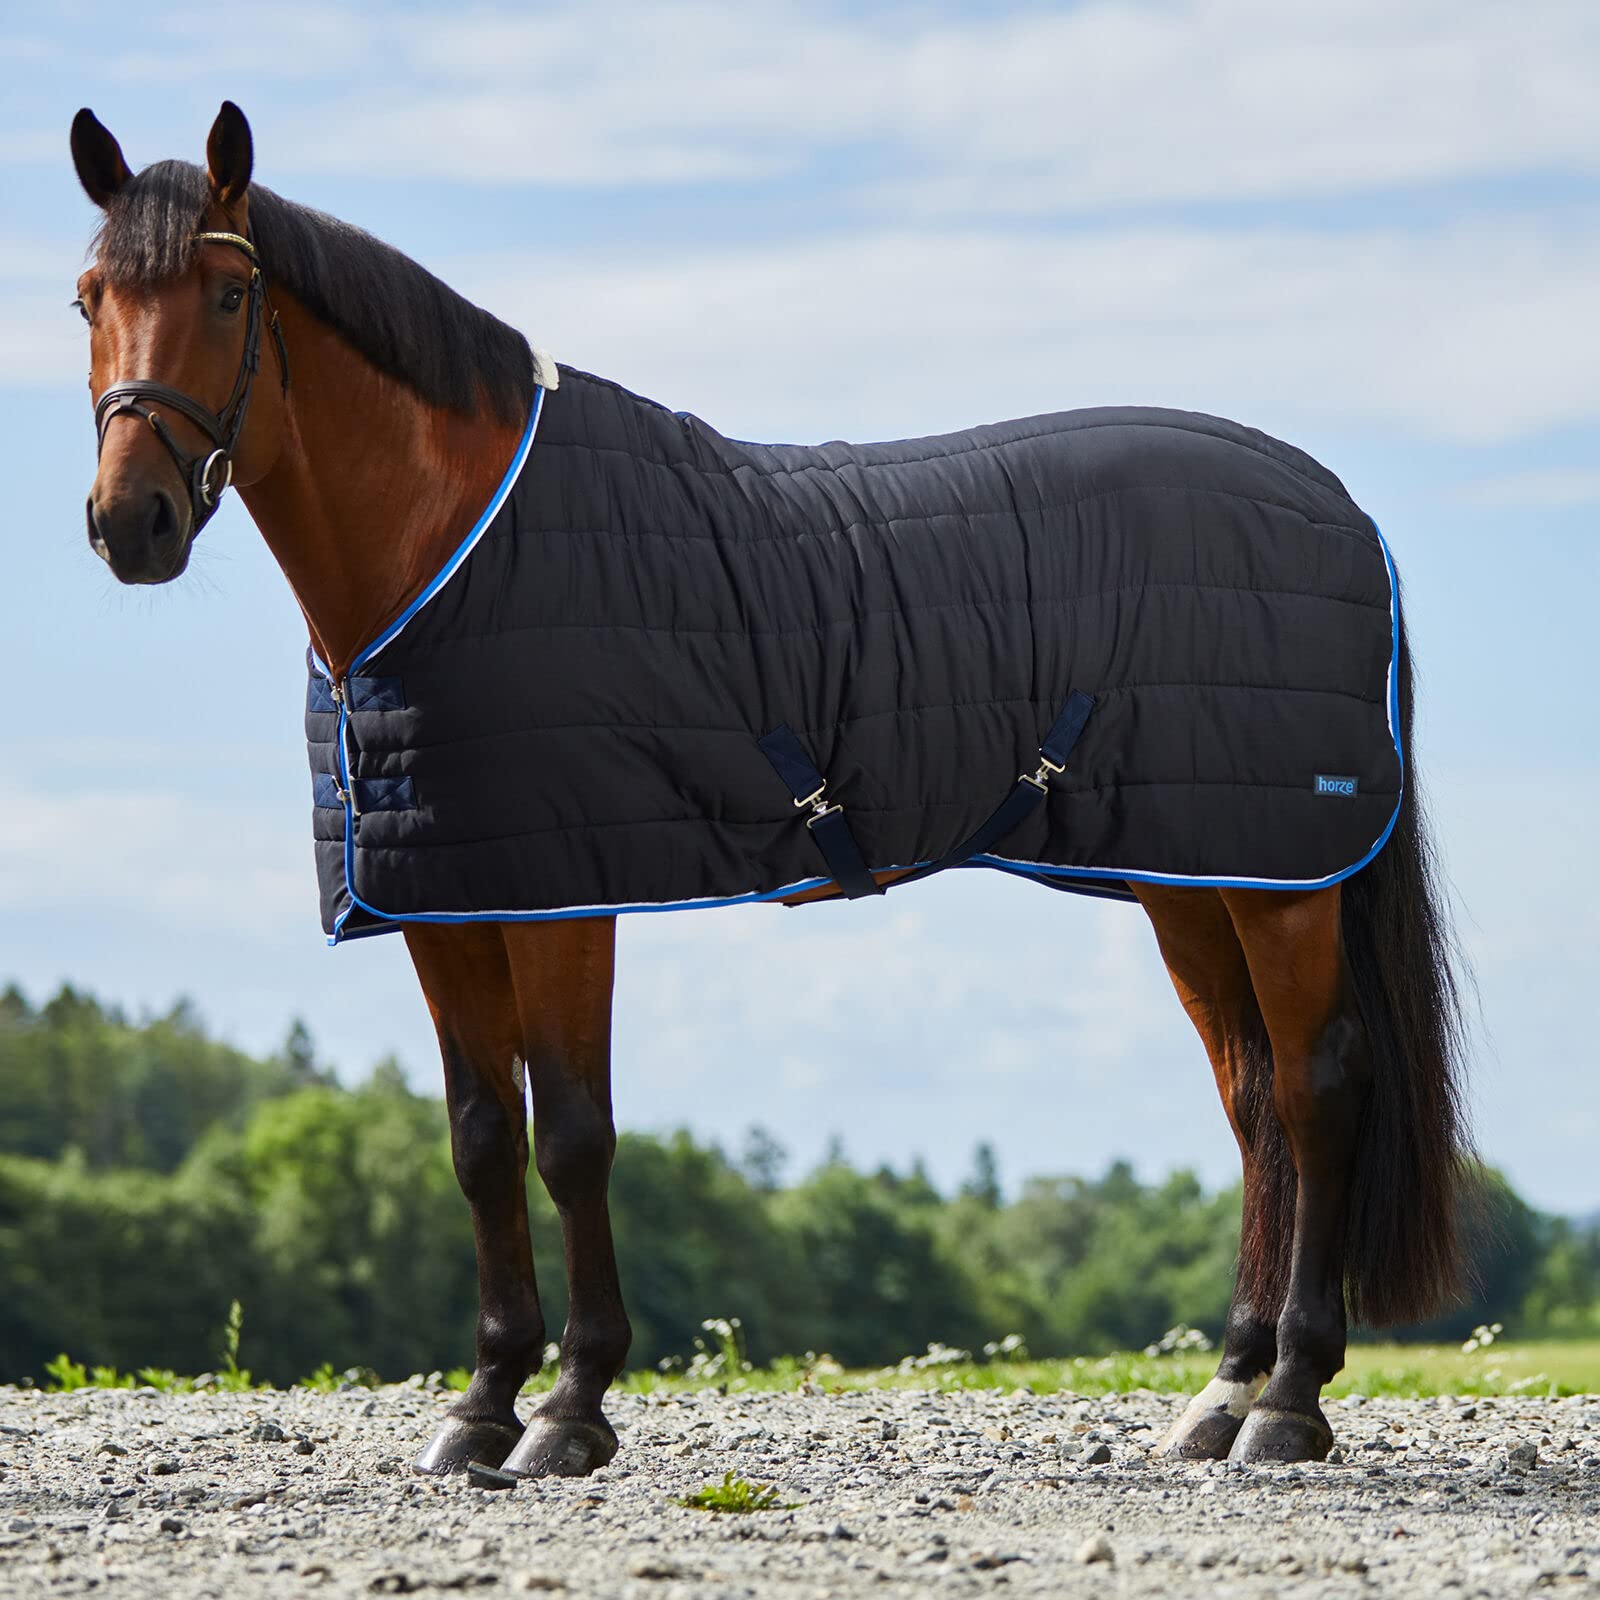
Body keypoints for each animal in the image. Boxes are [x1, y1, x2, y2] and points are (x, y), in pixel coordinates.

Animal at [70, 102, 1470, 1478]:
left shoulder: (565, 899)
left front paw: (571, 1410)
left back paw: (1287, 1400)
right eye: (89, 297)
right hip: (1194, 872)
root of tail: (1339, 509)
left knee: (1316, 1088)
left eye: (231, 293)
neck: (452, 539)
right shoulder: (446, 898)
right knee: (1253, 1103)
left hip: (1277, 879)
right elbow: (479, 1142)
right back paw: (1222, 1393)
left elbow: (572, 1136)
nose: (130, 522)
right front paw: (481, 1407)